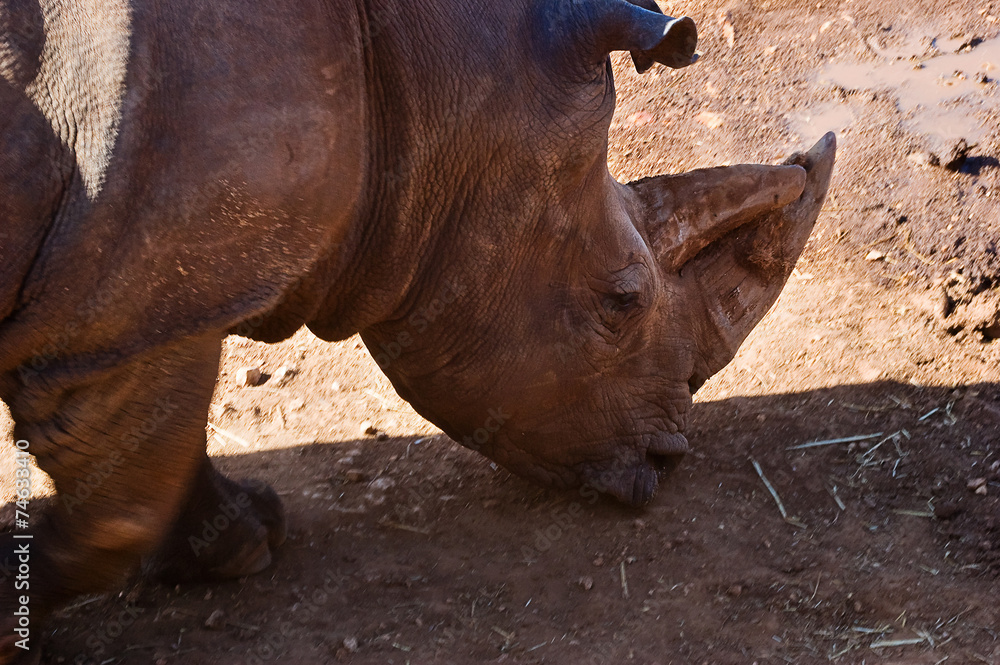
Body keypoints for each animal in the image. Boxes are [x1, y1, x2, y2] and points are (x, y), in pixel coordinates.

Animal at [0, 0, 834, 658]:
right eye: (622, 301)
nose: (668, 460)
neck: (418, 91)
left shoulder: (146, 298)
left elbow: (152, 465)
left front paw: (245, 541)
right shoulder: (135, 313)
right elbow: (124, 507)